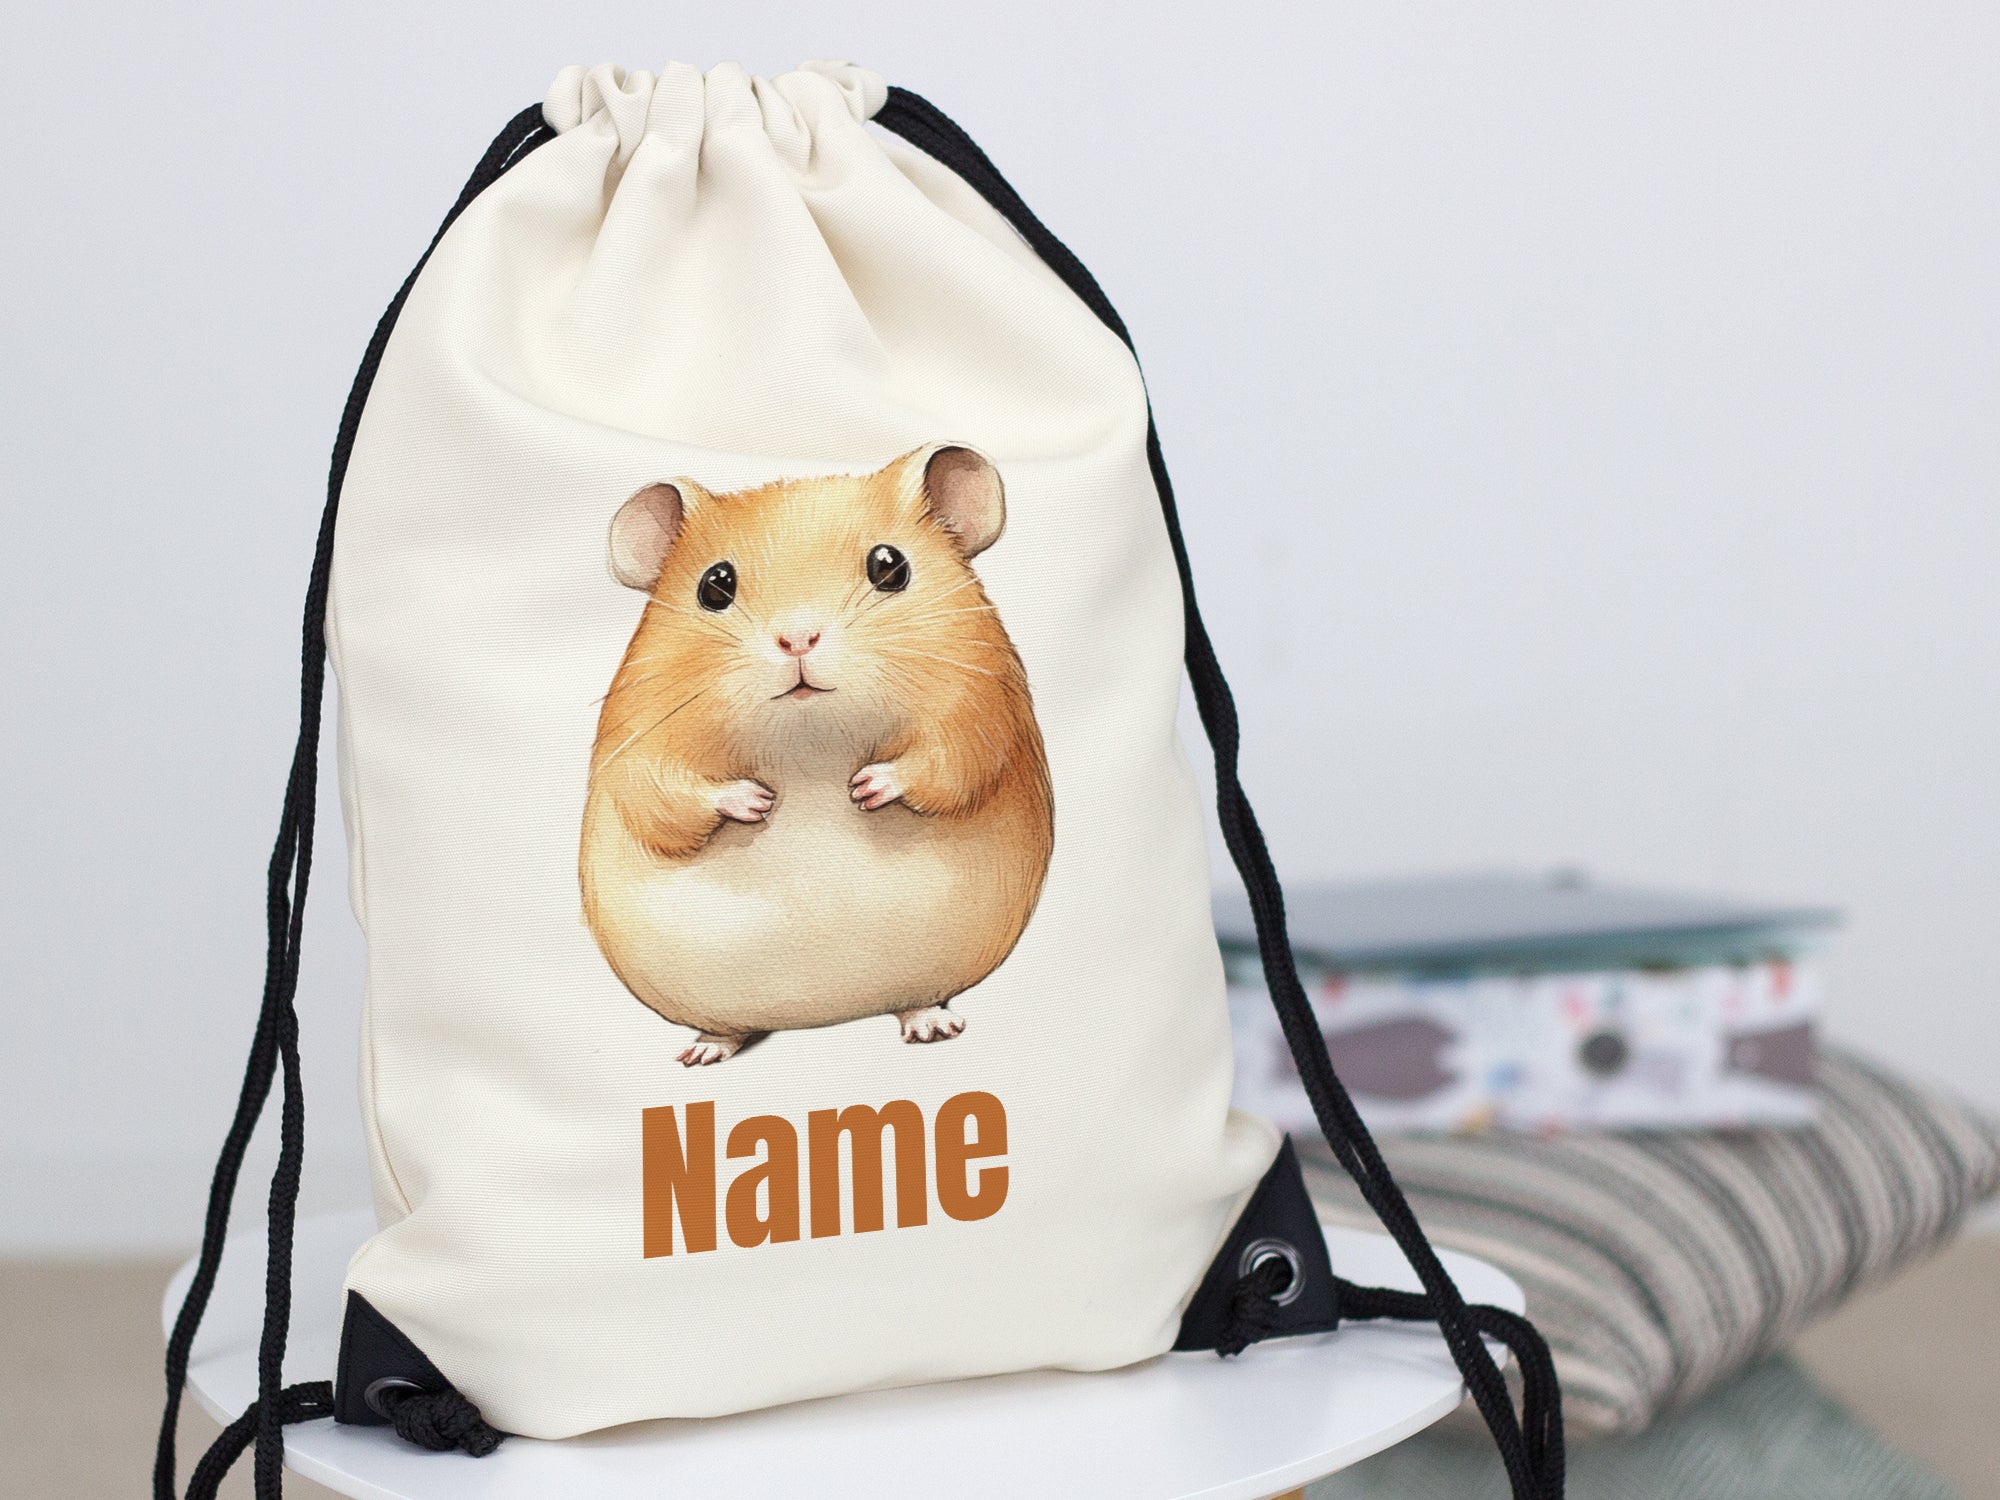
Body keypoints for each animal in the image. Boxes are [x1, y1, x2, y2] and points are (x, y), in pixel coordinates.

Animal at [579, 445, 1055, 1066]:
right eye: (714, 585)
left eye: (890, 566)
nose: (797, 639)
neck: (810, 742)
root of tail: (822, 1015)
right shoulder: (636, 738)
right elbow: (665, 795)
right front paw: (758, 802)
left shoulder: (981, 707)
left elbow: (946, 764)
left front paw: (865, 788)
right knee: (728, 1028)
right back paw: (703, 1053)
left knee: (917, 1001)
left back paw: (933, 1027)